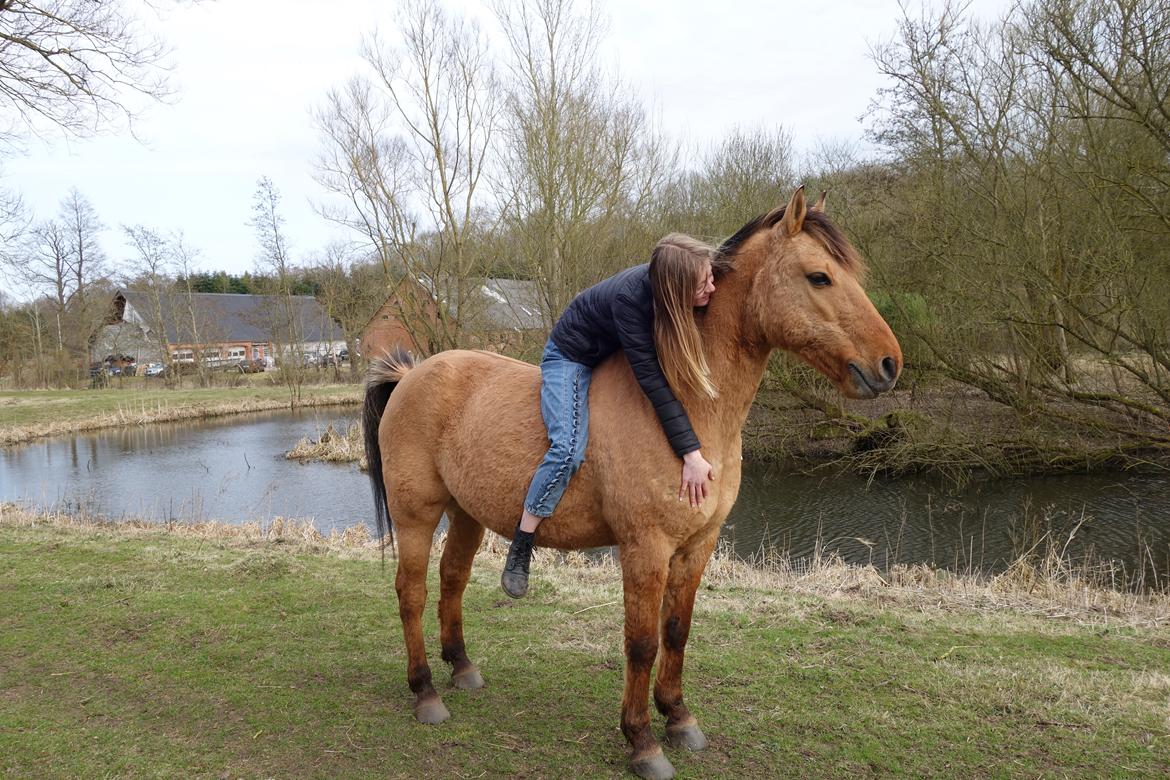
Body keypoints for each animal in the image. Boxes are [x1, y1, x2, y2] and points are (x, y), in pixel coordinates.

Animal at [360, 185, 898, 776]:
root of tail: (412, 374)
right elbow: (641, 642)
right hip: (417, 514)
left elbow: (677, 631)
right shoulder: (646, 548)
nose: (889, 364)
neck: (688, 408)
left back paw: (461, 668)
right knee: (411, 591)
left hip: (466, 514)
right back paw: (426, 692)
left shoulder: (697, 545)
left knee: (452, 580)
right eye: (819, 276)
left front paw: (679, 718)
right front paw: (642, 740)